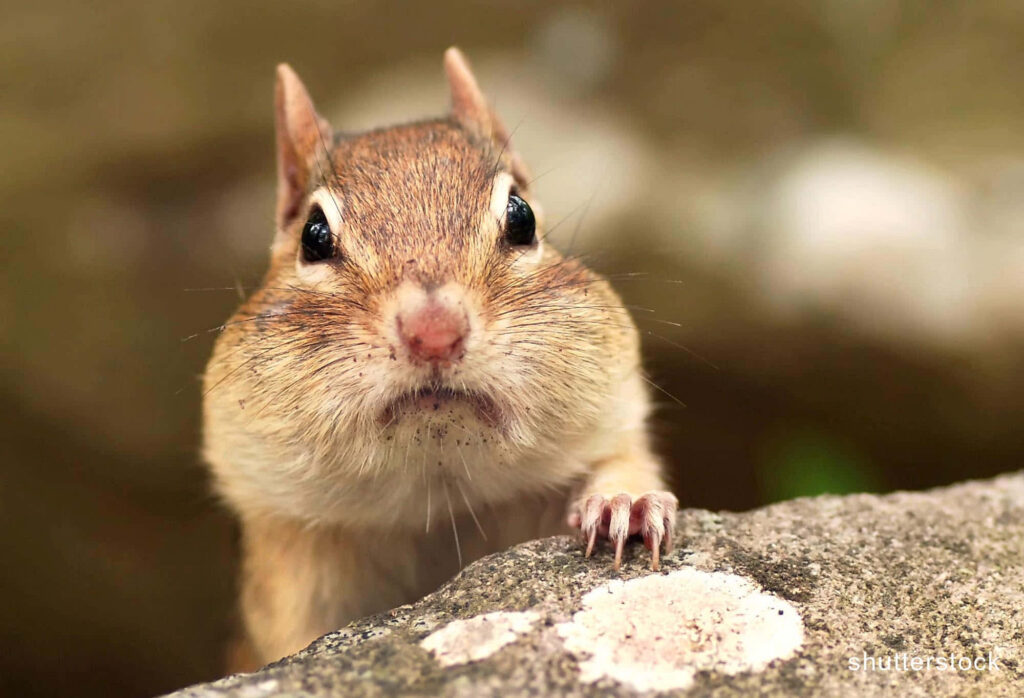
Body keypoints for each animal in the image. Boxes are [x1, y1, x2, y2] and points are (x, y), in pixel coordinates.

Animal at [202, 47, 677, 670]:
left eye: (522, 217)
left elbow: (625, 463)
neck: (444, 506)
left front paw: (626, 504)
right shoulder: (286, 553)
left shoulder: (616, 420)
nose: (433, 333)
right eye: (313, 236)